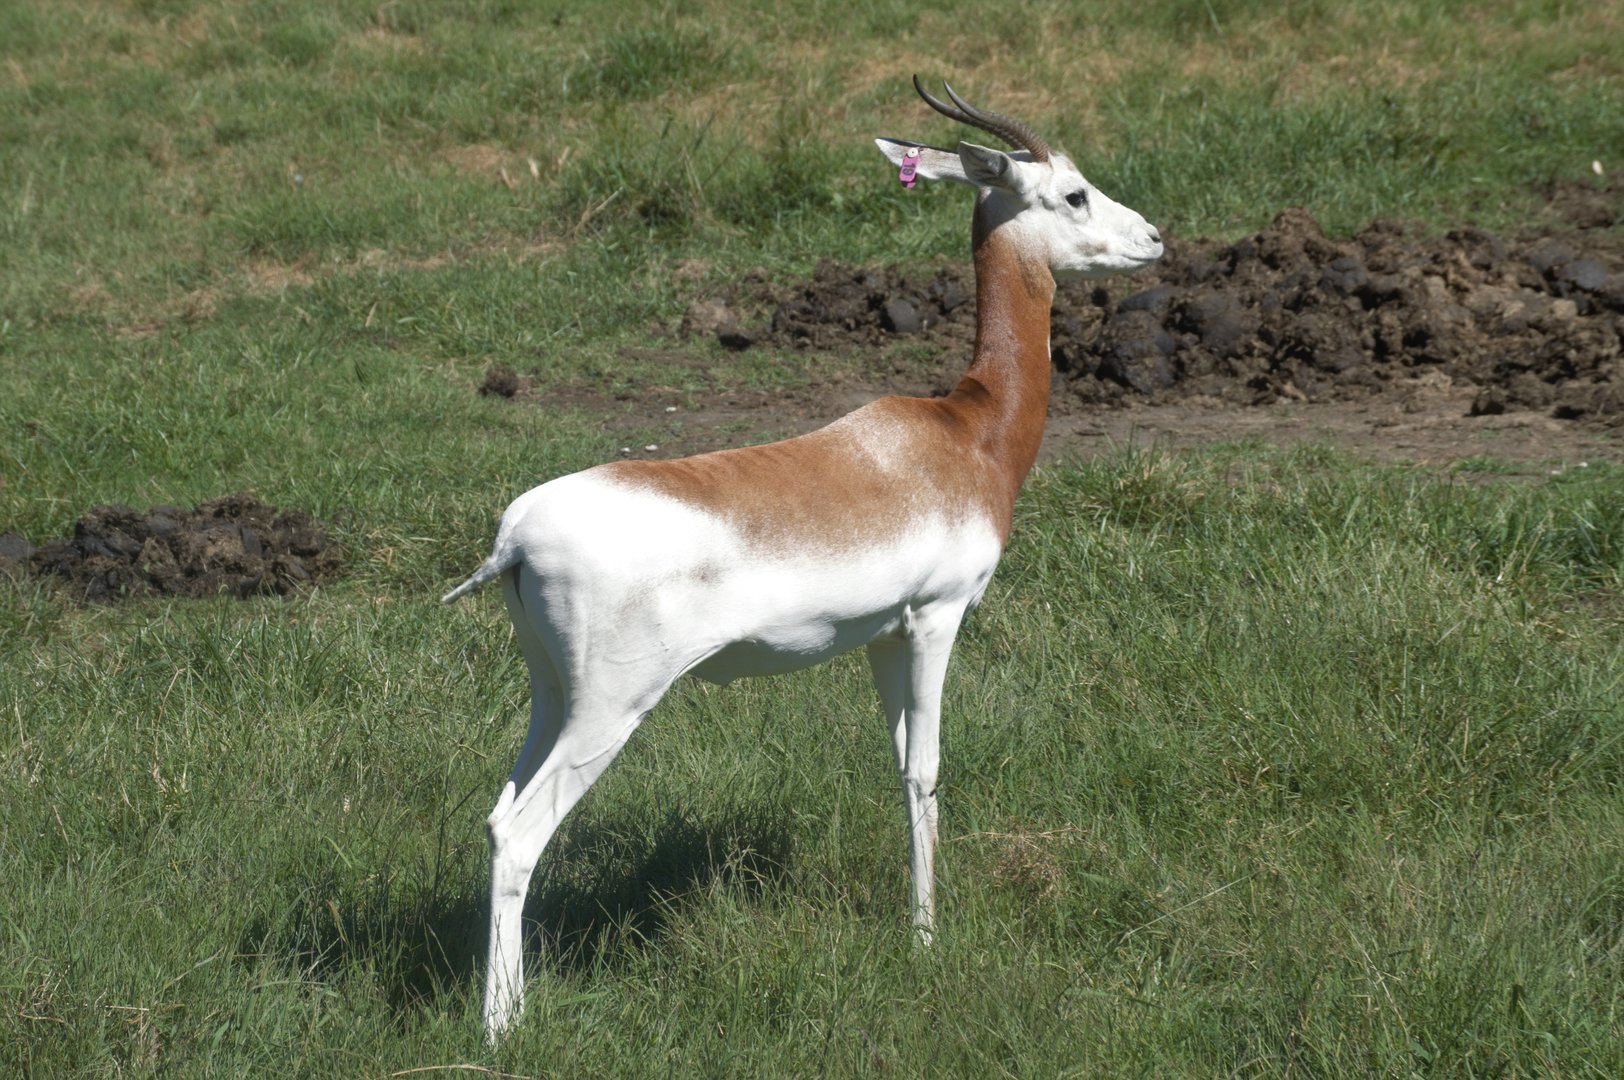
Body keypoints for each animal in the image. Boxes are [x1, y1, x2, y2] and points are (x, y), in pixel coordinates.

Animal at [445, 76, 1163, 1040]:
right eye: (1075, 194)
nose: (1153, 237)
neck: (965, 431)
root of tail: (515, 537)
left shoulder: (881, 636)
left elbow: (899, 769)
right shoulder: (936, 619)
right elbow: (928, 770)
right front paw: (927, 943)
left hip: (550, 695)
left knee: (496, 814)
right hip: (610, 707)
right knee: (521, 833)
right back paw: (502, 1025)